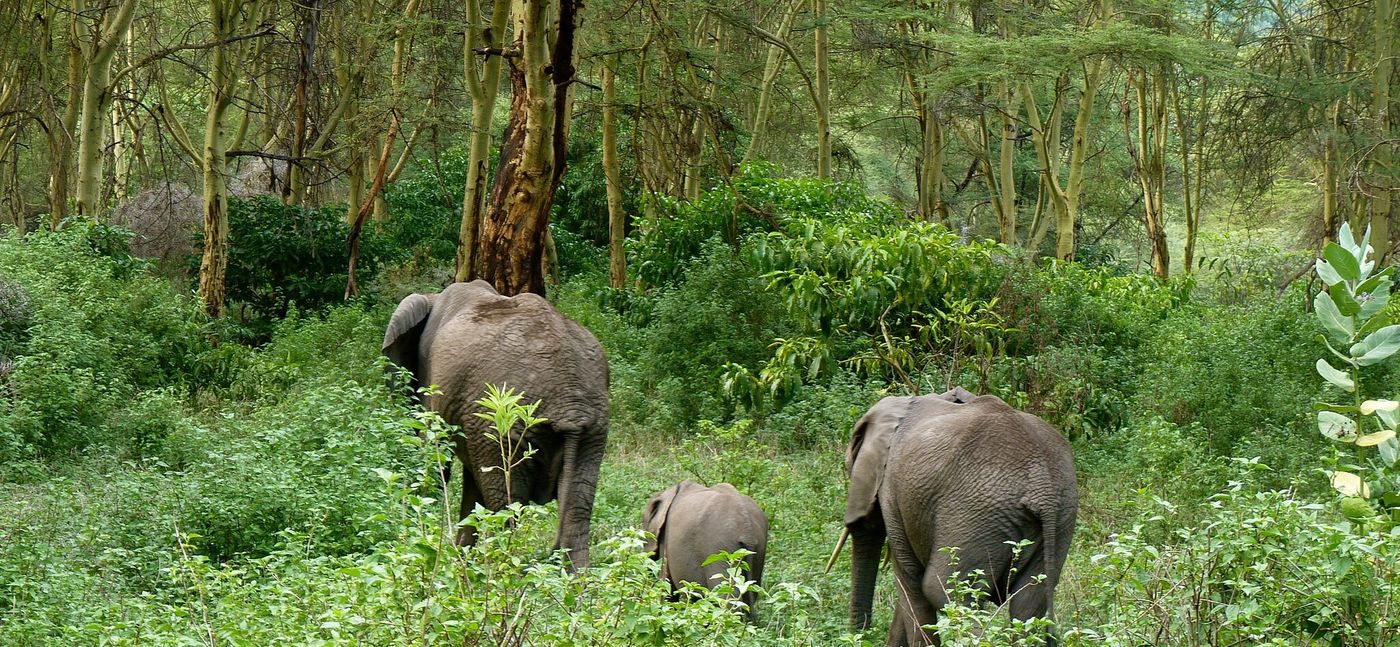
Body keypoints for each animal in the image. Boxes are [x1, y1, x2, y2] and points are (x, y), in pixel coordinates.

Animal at [383, 280, 609, 570]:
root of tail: (571, 408)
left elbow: (437, 465)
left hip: (505, 424)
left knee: (507, 506)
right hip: (593, 429)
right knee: (577, 512)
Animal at [841, 387, 1077, 646]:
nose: (861, 635)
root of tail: (1041, 485)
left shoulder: (892, 490)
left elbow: (910, 581)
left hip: (975, 515)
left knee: (947, 593)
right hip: (1060, 517)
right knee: (1029, 604)